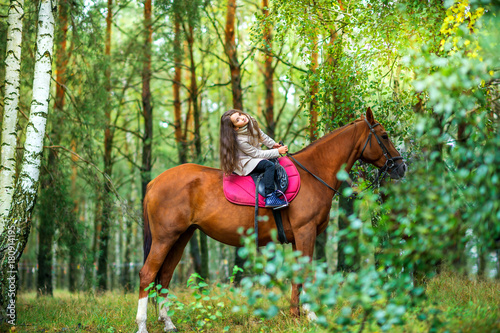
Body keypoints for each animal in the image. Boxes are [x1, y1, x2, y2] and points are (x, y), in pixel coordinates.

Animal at [135, 107, 404, 330]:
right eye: (384, 135)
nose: (401, 167)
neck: (313, 174)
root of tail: (154, 182)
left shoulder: (299, 237)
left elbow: (297, 275)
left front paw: (297, 314)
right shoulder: (306, 231)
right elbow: (305, 273)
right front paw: (311, 315)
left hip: (181, 237)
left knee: (164, 276)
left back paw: (168, 323)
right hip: (165, 237)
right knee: (147, 274)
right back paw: (142, 325)